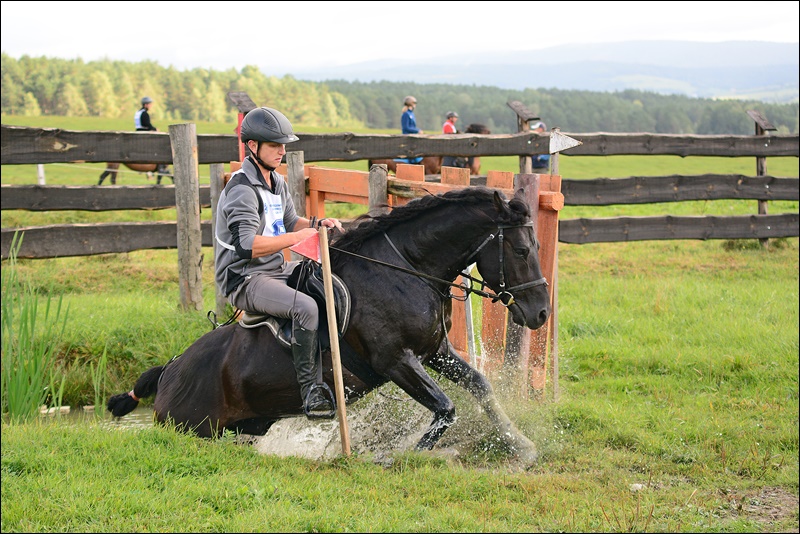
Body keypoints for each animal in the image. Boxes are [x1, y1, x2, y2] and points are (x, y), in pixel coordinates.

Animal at [108, 186, 552, 462]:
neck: (405, 269)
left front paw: (521, 444)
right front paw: (399, 455)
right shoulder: (395, 360)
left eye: (536, 245)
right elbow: (445, 408)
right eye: (521, 249)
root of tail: (169, 371)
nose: (541, 313)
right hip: (194, 428)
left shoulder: (435, 352)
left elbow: (480, 386)